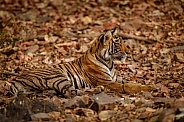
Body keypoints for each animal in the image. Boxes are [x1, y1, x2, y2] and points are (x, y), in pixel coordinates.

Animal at [9, 28, 155, 97]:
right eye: (118, 44)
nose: (128, 53)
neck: (109, 62)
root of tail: (15, 80)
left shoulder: (114, 79)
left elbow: (131, 82)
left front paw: (148, 85)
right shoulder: (107, 82)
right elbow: (129, 86)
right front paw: (151, 88)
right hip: (57, 76)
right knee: (70, 92)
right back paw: (97, 90)